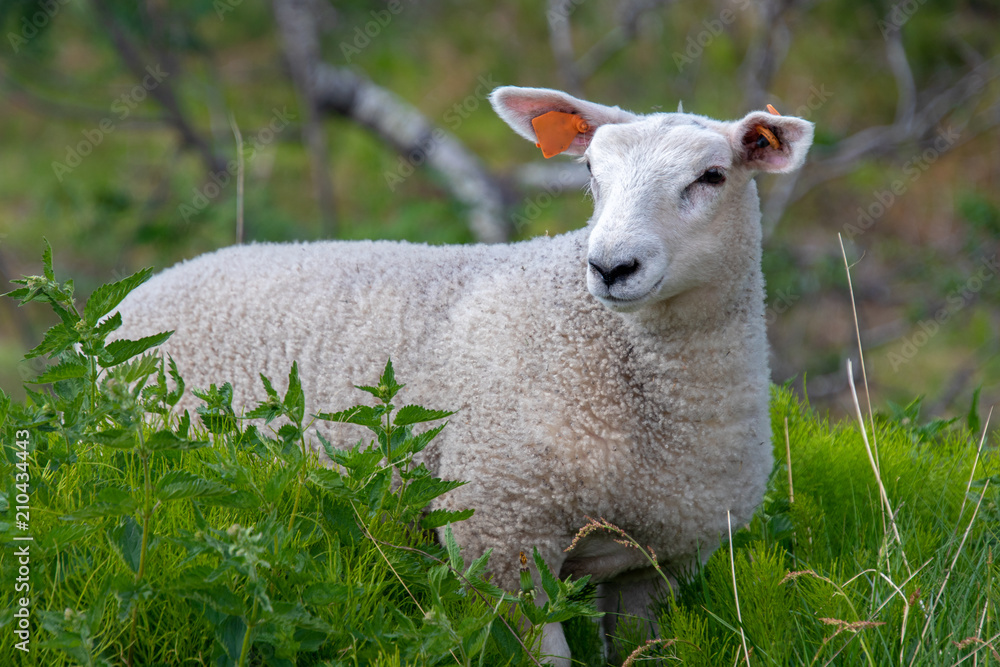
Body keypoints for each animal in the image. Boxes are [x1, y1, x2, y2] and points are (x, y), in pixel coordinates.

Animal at [113, 85, 814, 665]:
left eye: (712, 176)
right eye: (591, 172)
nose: (612, 267)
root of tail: (148, 286)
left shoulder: (657, 565)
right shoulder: (499, 535)